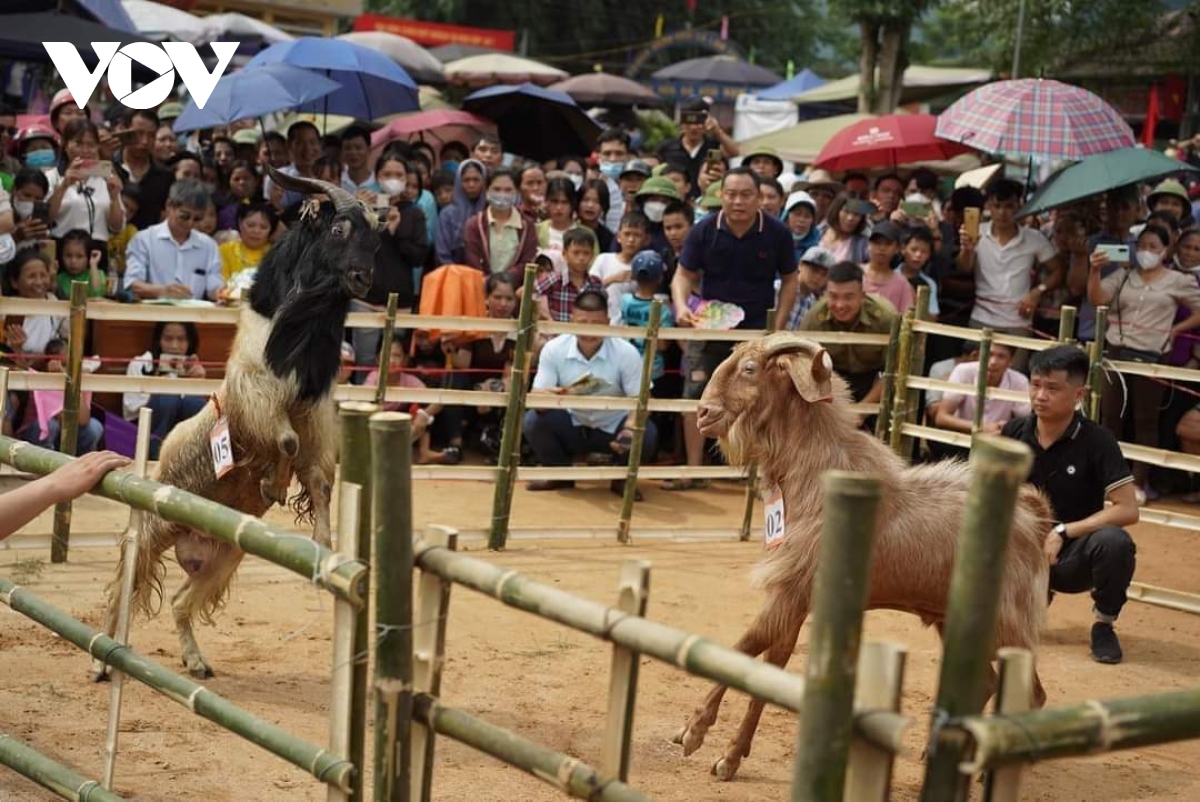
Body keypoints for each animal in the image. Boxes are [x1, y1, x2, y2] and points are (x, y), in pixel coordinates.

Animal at [96, 168, 379, 679]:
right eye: (338, 229)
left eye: (378, 239)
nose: (363, 278)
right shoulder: (259, 401)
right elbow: (283, 443)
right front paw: (272, 485)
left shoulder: (316, 419)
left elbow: (319, 481)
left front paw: (324, 546)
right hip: (155, 525)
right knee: (126, 582)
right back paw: (102, 662)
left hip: (225, 555)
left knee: (181, 602)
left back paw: (195, 661)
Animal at [674, 333, 1051, 781]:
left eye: (750, 369)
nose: (703, 414)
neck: (813, 476)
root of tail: (1036, 519)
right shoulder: (794, 598)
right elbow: (768, 668)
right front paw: (729, 758)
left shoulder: (790, 592)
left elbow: (742, 649)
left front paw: (693, 732)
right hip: (956, 620)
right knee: (990, 684)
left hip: (1009, 626)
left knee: (1033, 692)